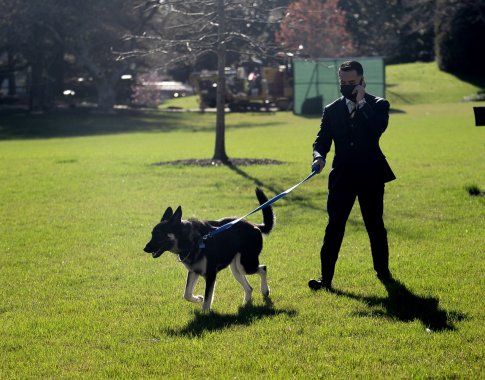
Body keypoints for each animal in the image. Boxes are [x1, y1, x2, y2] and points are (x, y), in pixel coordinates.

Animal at [143, 187, 272, 312]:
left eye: (159, 234)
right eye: (152, 234)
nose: (145, 248)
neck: (192, 241)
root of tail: (255, 226)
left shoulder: (210, 275)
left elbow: (207, 299)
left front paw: (205, 314)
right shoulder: (193, 272)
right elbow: (187, 294)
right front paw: (198, 298)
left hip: (245, 265)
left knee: (263, 268)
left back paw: (265, 290)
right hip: (236, 269)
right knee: (249, 287)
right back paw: (246, 303)